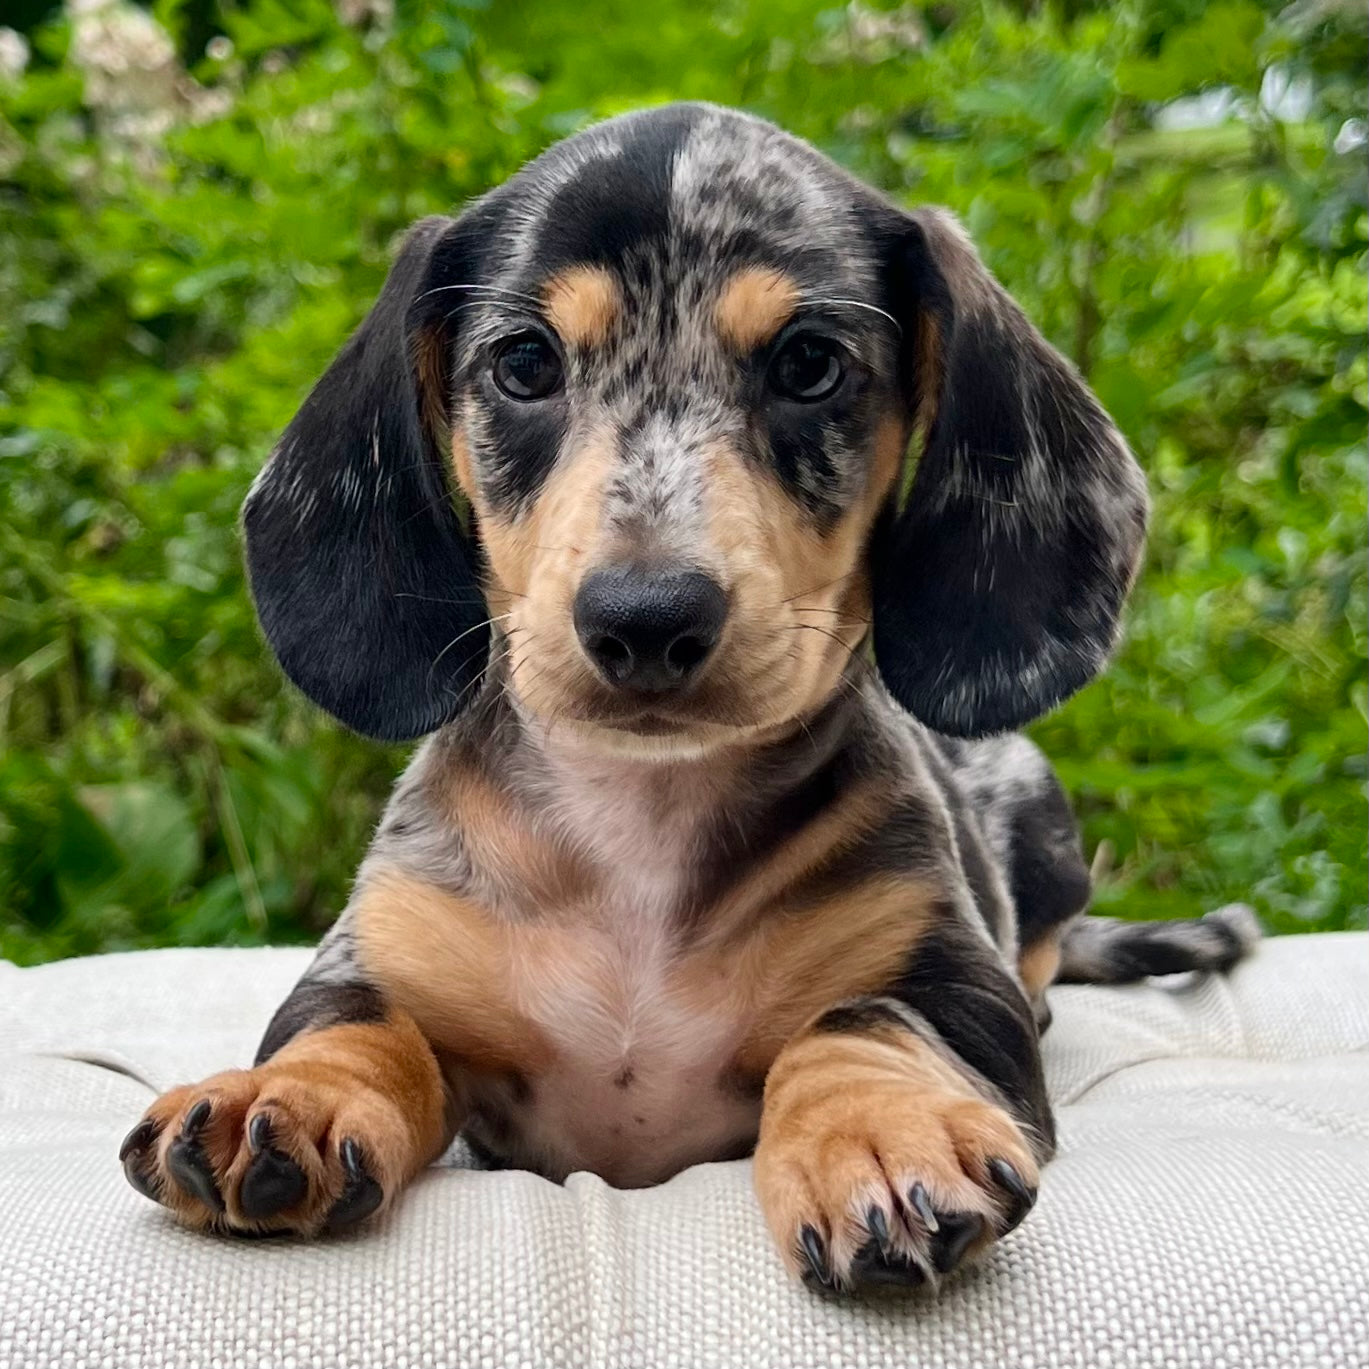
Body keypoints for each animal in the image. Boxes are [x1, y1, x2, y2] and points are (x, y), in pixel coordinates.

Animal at [123, 101, 1254, 1286]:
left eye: (809, 364)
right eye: (524, 363)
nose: (645, 619)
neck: (640, 824)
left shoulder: (955, 984)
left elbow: (860, 1021)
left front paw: (876, 1130)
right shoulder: (374, 961)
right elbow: (352, 1028)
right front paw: (285, 1095)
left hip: (1039, 817)